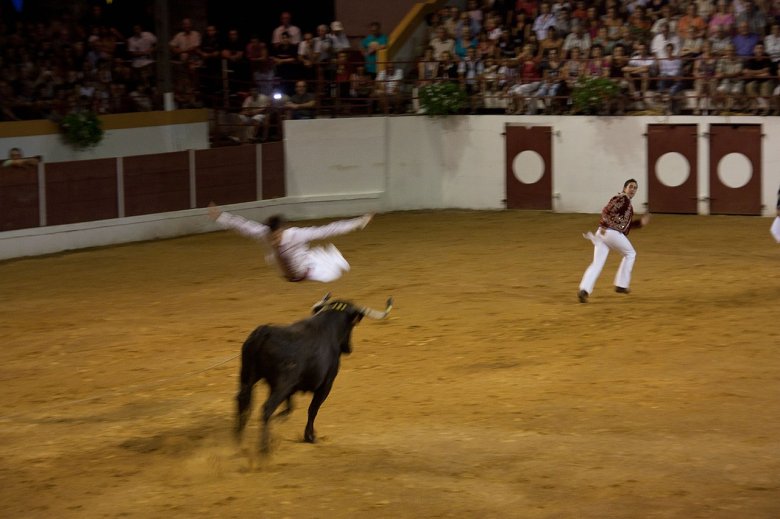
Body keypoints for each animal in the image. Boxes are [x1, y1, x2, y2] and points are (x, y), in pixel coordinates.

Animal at [232, 294, 390, 452]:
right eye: (352, 325)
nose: (348, 349)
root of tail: (264, 333)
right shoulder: (325, 385)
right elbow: (312, 409)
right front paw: (310, 436)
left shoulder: (288, 387)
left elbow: (290, 406)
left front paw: (280, 420)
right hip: (282, 384)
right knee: (267, 408)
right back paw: (264, 448)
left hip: (248, 376)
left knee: (242, 399)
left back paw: (239, 441)